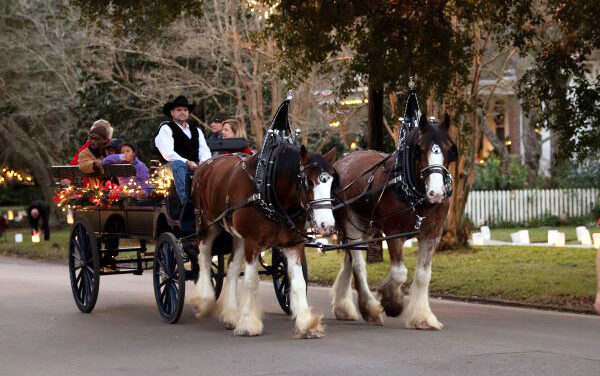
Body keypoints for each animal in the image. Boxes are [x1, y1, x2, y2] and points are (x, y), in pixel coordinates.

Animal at [191, 145, 338, 338]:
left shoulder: (293, 243)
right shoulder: (253, 243)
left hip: (238, 237)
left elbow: (298, 283)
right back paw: (204, 301)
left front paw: (307, 324)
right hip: (207, 225)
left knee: (232, 268)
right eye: (309, 183)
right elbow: (251, 281)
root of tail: (204, 164)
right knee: (205, 259)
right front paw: (248, 323)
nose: (327, 225)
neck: (269, 192)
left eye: (331, 183)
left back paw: (231, 315)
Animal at [332, 114, 454, 328]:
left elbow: (423, 275)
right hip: (350, 223)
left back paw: (343, 308)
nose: (436, 192)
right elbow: (399, 273)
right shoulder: (394, 233)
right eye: (420, 148)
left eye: (448, 148)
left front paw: (422, 317)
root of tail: (343, 160)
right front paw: (391, 301)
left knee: (349, 260)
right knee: (358, 265)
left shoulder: (432, 234)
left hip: (367, 226)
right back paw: (370, 309)